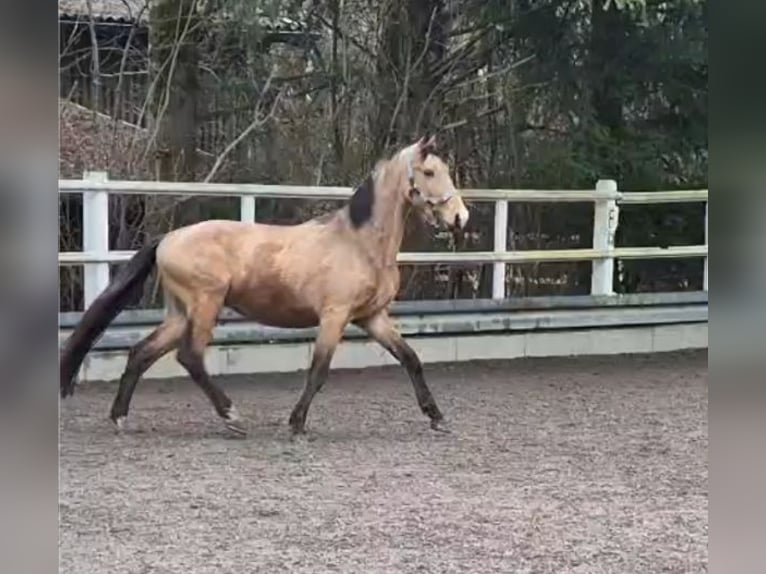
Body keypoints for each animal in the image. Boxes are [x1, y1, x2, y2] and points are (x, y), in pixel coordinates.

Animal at [60, 137, 468, 438]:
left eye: (447, 170)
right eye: (429, 171)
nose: (459, 217)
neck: (360, 243)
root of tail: (168, 239)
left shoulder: (372, 318)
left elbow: (411, 359)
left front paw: (436, 417)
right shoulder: (334, 316)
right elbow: (319, 369)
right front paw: (297, 424)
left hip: (180, 312)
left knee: (141, 353)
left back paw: (120, 417)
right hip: (205, 304)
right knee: (189, 356)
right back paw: (231, 416)